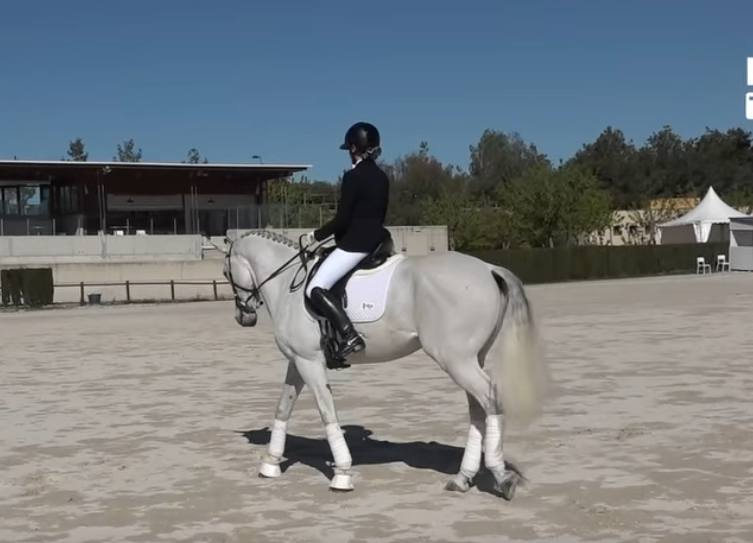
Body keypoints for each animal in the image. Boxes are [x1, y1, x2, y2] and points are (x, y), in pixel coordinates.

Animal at [223, 231, 547, 499]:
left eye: (226, 271)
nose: (243, 317)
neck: (288, 285)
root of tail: (488, 269)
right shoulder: (298, 361)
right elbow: (283, 408)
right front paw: (270, 464)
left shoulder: (309, 362)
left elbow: (327, 413)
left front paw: (342, 474)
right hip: (469, 359)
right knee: (478, 408)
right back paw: (462, 478)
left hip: (455, 359)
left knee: (490, 398)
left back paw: (501, 476)